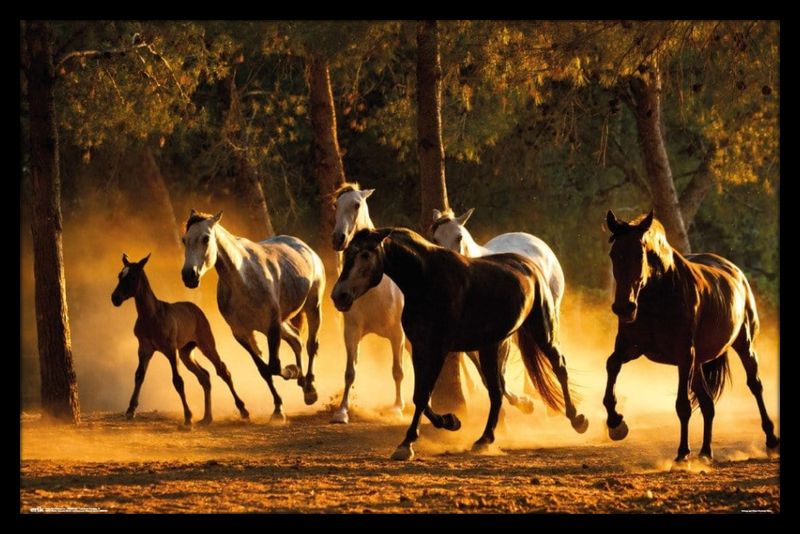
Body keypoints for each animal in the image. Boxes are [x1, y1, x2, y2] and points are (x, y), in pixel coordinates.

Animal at [111, 253, 249, 425]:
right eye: (120, 275)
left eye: (133, 277)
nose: (115, 298)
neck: (151, 316)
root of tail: (196, 309)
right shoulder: (144, 349)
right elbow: (139, 375)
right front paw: (130, 410)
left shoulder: (171, 350)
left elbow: (177, 380)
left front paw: (188, 416)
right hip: (186, 353)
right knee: (204, 376)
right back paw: (207, 417)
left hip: (206, 345)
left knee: (223, 371)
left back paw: (243, 410)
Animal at [180, 210, 325, 423]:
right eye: (185, 240)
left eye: (206, 238)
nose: (189, 276)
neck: (242, 279)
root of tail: (306, 248)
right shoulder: (242, 333)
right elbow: (264, 369)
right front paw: (278, 408)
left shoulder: (271, 327)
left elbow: (274, 366)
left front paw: (291, 372)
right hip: (281, 322)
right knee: (296, 340)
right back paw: (301, 381)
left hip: (313, 308)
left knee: (310, 345)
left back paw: (310, 389)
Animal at [329, 183, 407, 423]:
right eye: (336, 205)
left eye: (356, 204)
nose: (338, 238)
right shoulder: (351, 332)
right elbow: (350, 372)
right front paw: (342, 411)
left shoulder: (397, 335)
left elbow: (397, 371)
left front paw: (397, 407)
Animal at [331, 228, 588, 460]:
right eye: (347, 254)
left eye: (365, 255)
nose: (338, 296)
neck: (425, 280)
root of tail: (529, 266)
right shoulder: (420, 348)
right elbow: (419, 395)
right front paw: (449, 421)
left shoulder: (438, 349)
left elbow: (422, 395)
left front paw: (408, 443)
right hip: (491, 345)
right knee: (497, 390)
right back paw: (485, 438)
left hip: (542, 329)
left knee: (559, 366)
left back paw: (577, 419)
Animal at [604, 210, 779, 462]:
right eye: (613, 253)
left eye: (640, 253)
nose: (624, 308)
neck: (658, 295)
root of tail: (736, 272)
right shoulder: (630, 348)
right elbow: (612, 365)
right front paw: (616, 422)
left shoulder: (684, 355)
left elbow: (682, 405)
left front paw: (682, 454)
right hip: (697, 364)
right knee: (707, 403)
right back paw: (705, 452)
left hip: (743, 345)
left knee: (755, 386)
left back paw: (771, 440)